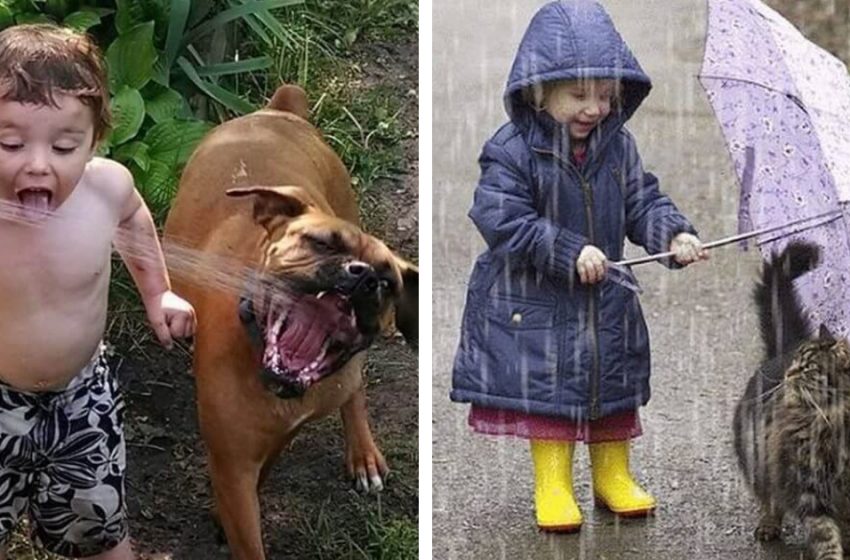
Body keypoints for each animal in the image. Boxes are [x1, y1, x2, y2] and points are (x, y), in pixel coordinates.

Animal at [160, 84, 418, 560]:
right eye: (319, 242)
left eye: (388, 280)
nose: (365, 276)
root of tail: (278, 111)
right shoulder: (236, 464)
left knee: (354, 389)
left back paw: (363, 455)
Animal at [728, 242, 848, 560]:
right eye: (798, 363)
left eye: (808, 369)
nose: (789, 373)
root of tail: (780, 350)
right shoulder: (808, 489)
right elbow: (826, 535)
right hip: (759, 457)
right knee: (770, 498)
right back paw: (769, 525)